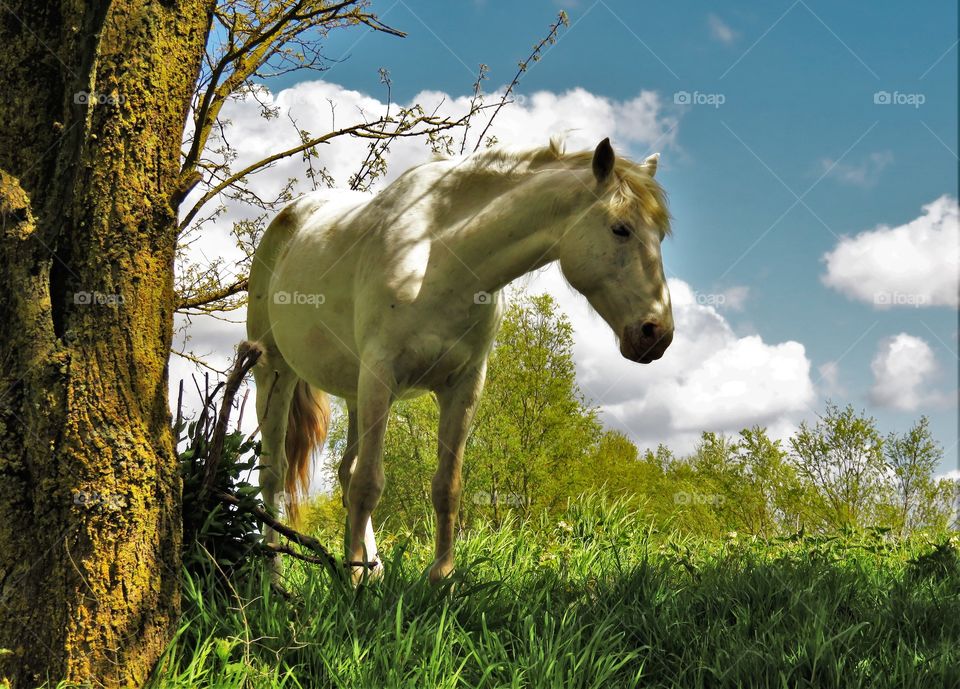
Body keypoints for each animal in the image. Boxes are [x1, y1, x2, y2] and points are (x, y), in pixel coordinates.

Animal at [246, 137, 674, 583]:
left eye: (660, 234)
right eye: (620, 228)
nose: (656, 334)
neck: (439, 255)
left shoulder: (463, 386)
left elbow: (446, 487)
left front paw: (440, 580)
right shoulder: (380, 375)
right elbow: (369, 484)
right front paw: (353, 587)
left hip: (354, 391)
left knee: (346, 470)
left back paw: (369, 566)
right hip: (274, 373)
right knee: (274, 476)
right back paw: (275, 574)